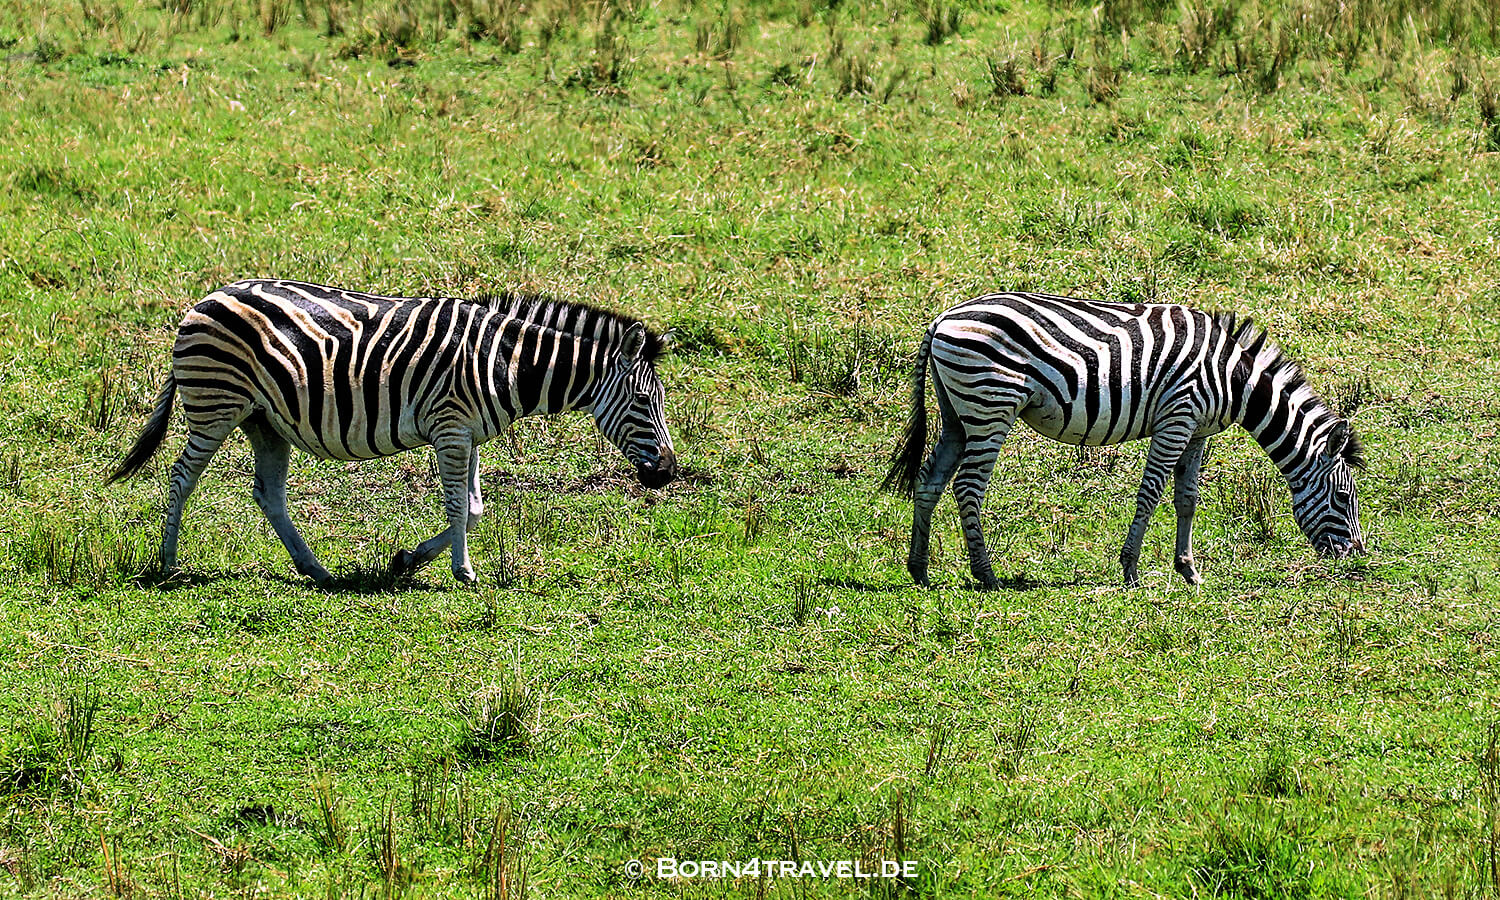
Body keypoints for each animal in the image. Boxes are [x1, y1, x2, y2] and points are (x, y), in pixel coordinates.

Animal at [108, 279, 678, 585]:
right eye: (644, 402)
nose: (670, 473)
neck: (506, 363)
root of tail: (202, 301)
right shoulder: (451, 427)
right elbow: (457, 506)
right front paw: (463, 572)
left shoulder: (466, 433)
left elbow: (474, 508)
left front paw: (409, 559)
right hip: (215, 405)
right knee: (182, 477)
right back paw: (168, 562)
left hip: (264, 421)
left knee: (268, 493)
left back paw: (315, 570)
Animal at [883, 291, 1365, 588]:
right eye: (1344, 499)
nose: (1356, 559)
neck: (1235, 379)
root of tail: (942, 318)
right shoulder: (1177, 417)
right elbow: (1151, 493)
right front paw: (1131, 570)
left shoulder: (1196, 430)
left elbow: (1187, 499)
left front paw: (1189, 571)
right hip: (990, 403)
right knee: (967, 487)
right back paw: (986, 575)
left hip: (958, 413)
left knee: (930, 481)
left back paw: (919, 569)